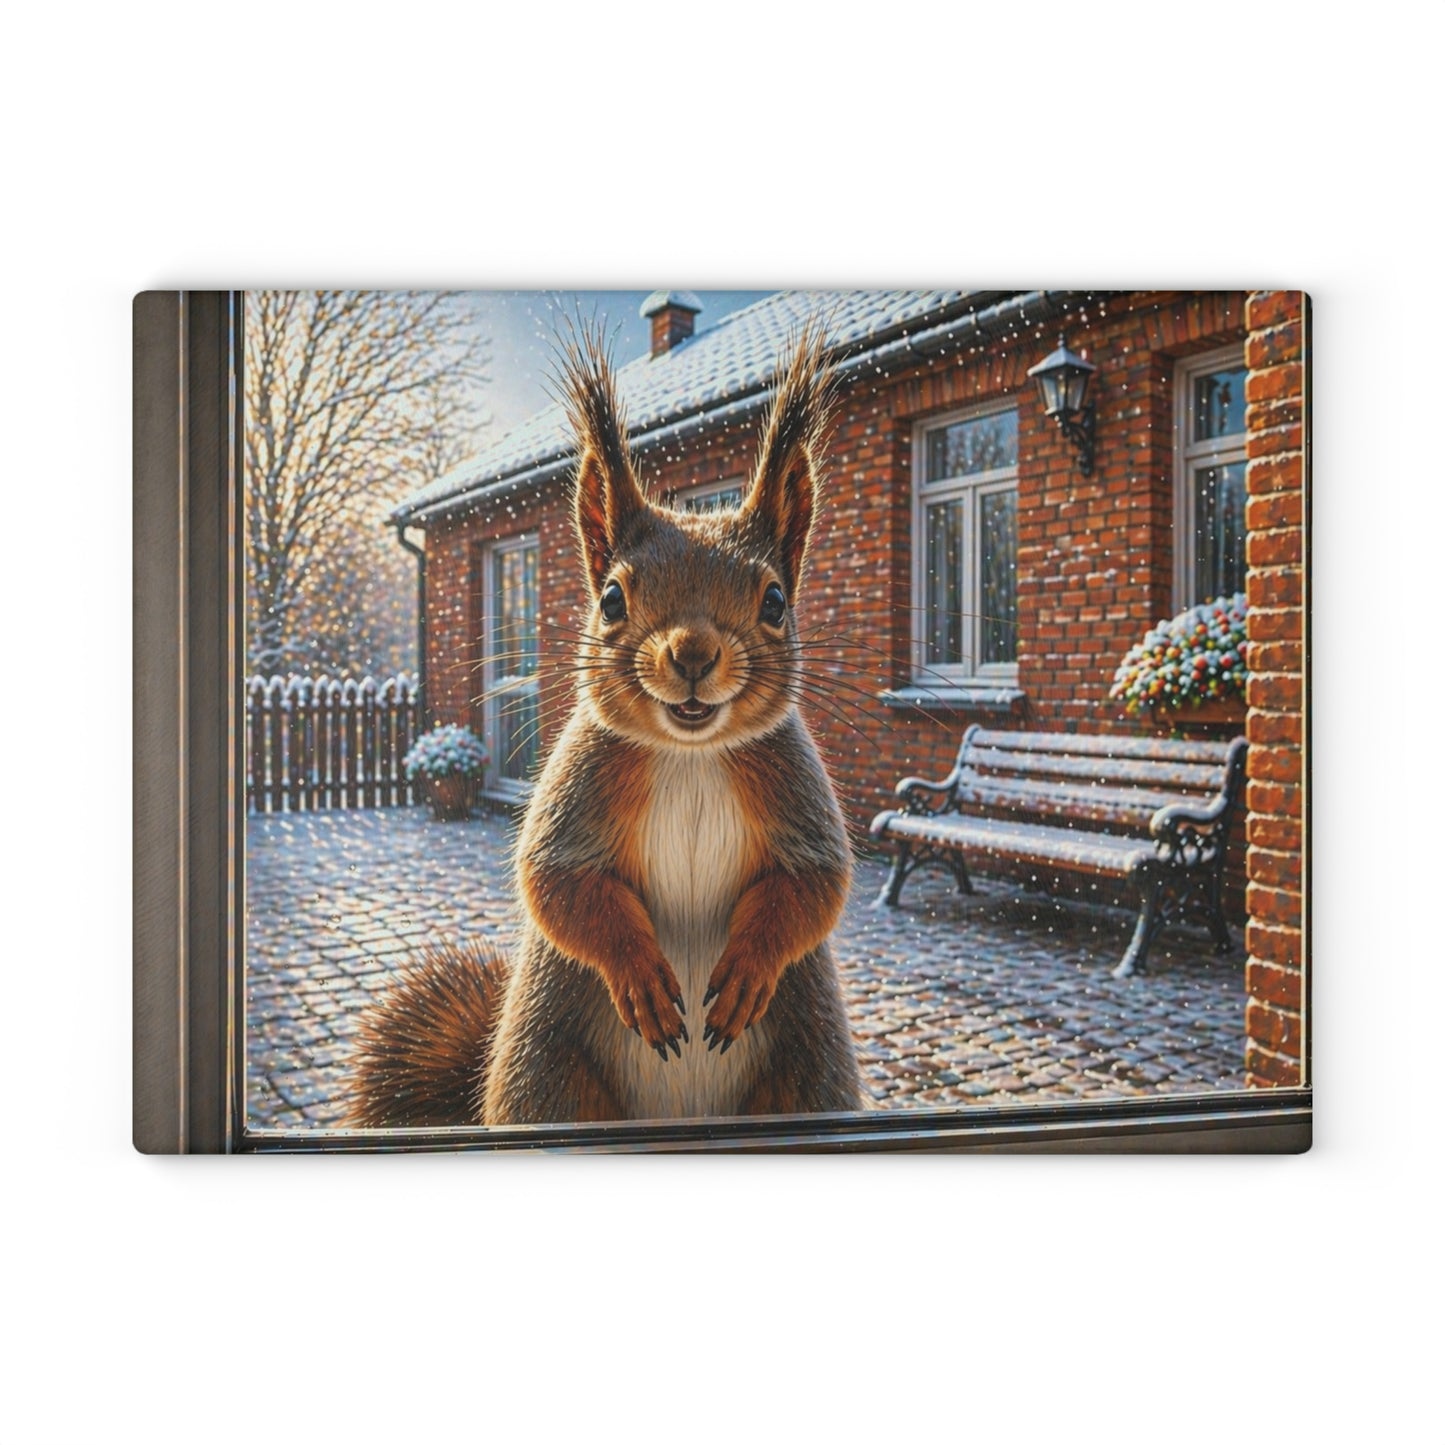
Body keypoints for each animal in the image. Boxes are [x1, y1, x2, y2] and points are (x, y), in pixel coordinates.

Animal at [347, 327, 863, 1127]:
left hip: (805, 1066)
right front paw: (642, 978)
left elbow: (814, 884)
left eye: (776, 600)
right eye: (613, 598)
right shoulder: (580, 780)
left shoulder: (792, 782)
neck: (689, 754)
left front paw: (746, 970)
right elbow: (558, 883)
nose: (691, 654)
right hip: (552, 1073)